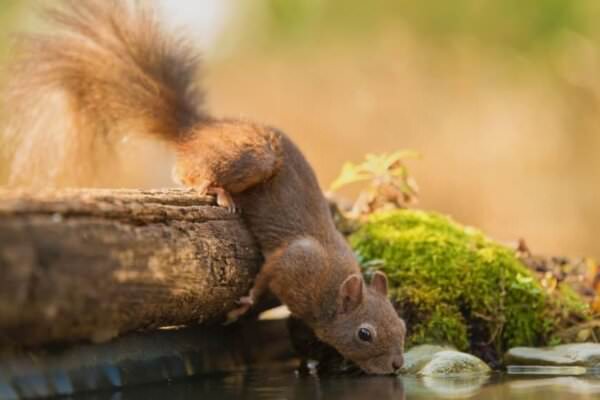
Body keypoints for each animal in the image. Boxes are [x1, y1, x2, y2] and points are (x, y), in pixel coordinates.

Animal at [4, 0, 406, 376]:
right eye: (364, 334)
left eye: (402, 325)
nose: (397, 366)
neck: (331, 287)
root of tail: (196, 129)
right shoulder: (295, 262)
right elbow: (267, 274)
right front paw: (246, 303)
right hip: (252, 158)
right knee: (188, 171)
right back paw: (218, 192)